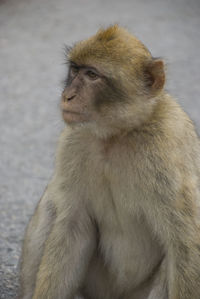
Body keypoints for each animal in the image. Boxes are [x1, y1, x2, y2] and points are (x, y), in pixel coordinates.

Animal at [19, 24, 200, 298]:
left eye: (92, 75)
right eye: (75, 70)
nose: (67, 95)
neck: (116, 135)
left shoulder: (168, 148)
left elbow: (185, 243)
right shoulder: (73, 143)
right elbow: (73, 226)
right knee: (52, 201)